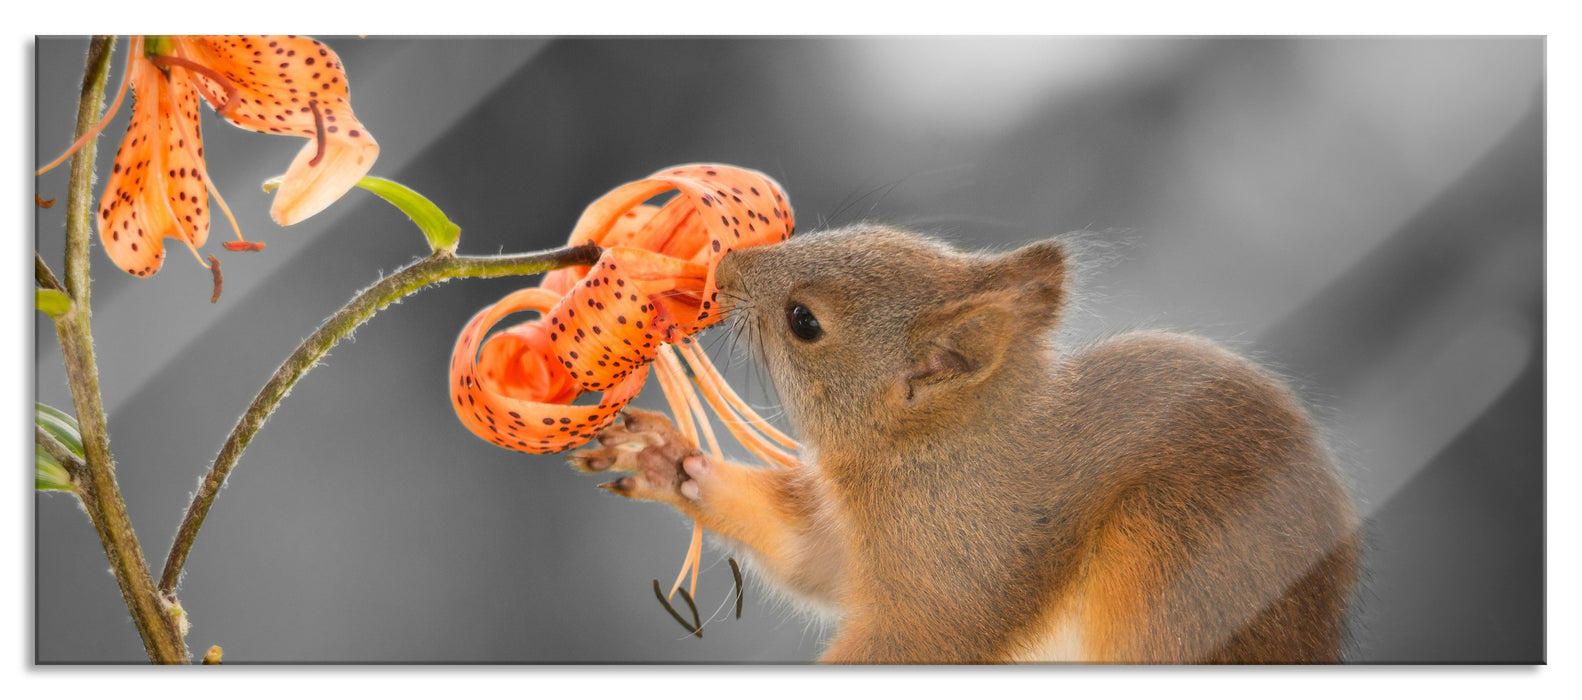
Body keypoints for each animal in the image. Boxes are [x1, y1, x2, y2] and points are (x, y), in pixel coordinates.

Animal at [567, 224, 1360, 664]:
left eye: (803, 322)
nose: (721, 270)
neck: (928, 455)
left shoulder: (960, 572)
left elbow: (912, 641)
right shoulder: (863, 548)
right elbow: (810, 558)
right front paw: (667, 461)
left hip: (1176, 564)